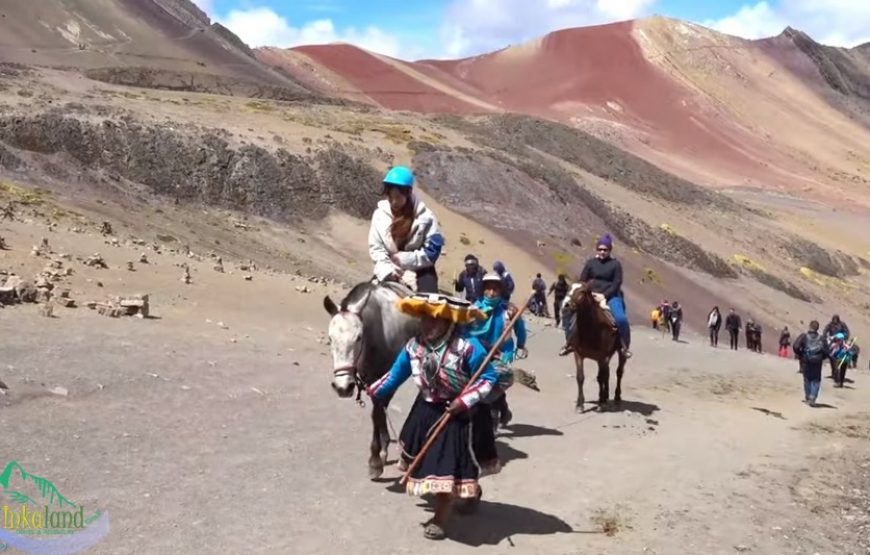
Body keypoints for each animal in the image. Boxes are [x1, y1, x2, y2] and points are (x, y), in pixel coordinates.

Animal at [326, 280, 424, 480]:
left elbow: (377, 412)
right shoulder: (369, 378)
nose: (343, 388)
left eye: (358, 337)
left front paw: (375, 461)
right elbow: (377, 413)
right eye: (330, 338)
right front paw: (382, 451)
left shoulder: (387, 377)